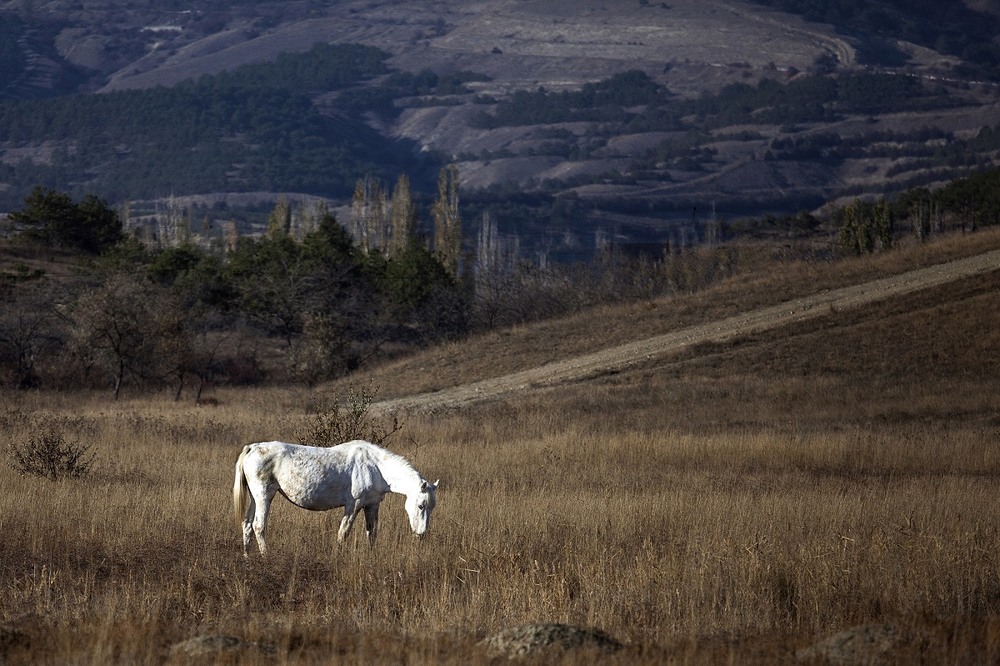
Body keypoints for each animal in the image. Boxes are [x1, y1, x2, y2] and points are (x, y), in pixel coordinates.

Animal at [236, 438, 440, 552]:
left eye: (432, 507)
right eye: (420, 505)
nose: (421, 534)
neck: (376, 467)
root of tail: (252, 448)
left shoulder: (372, 505)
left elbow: (372, 533)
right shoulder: (353, 505)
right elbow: (343, 533)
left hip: (255, 498)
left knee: (247, 525)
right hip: (264, 496)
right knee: (258, 526)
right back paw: (265, 557)